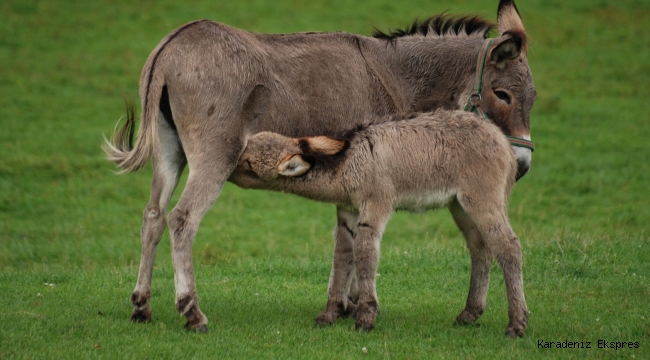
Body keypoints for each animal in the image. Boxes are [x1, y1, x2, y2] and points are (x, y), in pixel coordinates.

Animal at [232, 109, 528, 338]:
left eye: (248, 163)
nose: (228, 167)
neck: (349, 161)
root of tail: (501, 138)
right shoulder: (348, 212)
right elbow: (342, 256)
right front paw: (329, 314)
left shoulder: (375, 205)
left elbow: (364, 253)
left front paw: (365, 317)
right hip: (460, 206)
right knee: (481, 249)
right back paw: (469, 313)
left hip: (482, 199)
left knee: (508, 248)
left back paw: (516, 324)